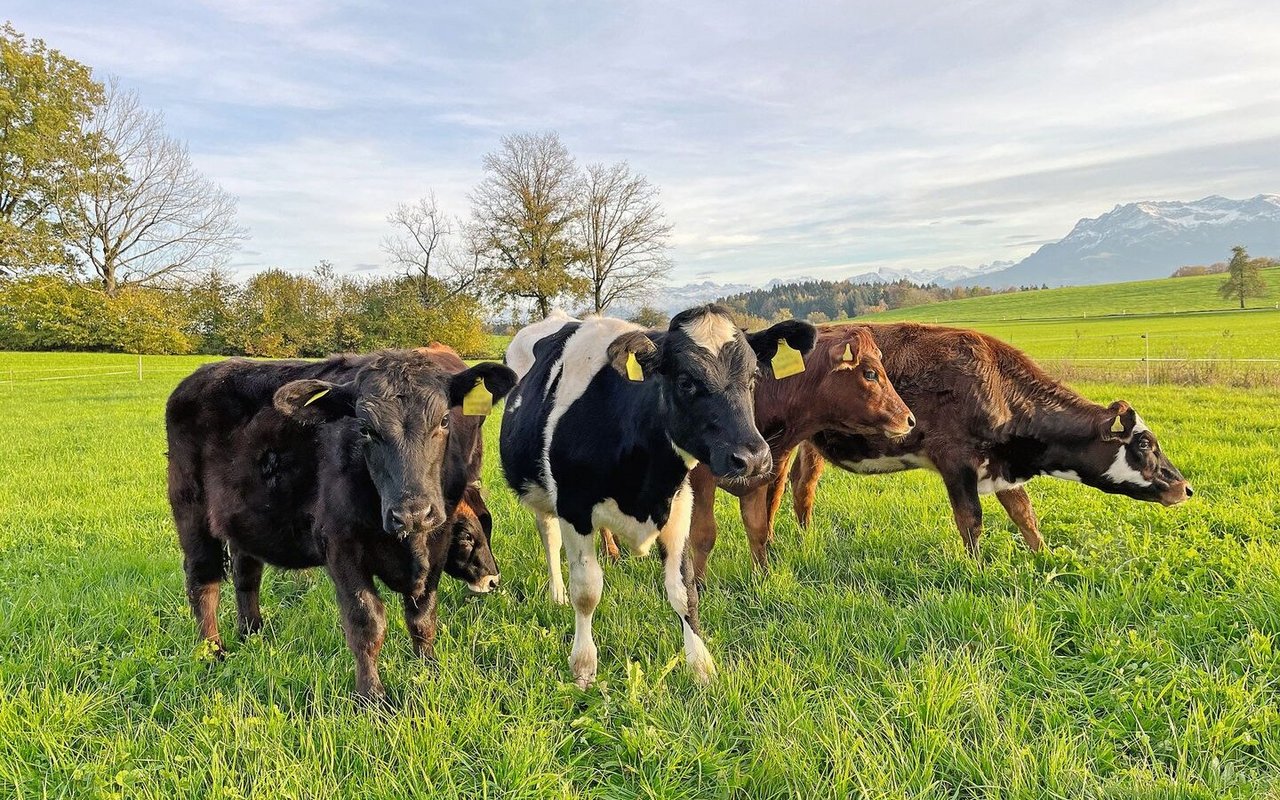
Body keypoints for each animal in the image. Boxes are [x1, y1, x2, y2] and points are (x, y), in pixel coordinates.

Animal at [165, 345, 514, 696]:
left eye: (443, 420)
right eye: (364, 429)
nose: (412, 513)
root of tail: (202, 374)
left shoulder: (436, 544)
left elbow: (423, 618)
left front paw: (429, 674)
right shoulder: (340, 544)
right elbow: (366, 623)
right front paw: (372, 696)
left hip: (246, 522)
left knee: (246, 575)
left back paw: (252, 634)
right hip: (191, 514)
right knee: (203, 582)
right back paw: (213, 653)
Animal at [494, 305, 814, 686]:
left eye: (753, 377)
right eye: (686, 381)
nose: (752, 458)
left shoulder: (678, 505)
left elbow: (684, 591)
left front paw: (702, 667)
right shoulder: (574, 507)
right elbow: (586, 591)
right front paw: (583, 667)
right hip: (540, 492)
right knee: (549, 535)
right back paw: (556, 593)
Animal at [691, 325, 921, 581]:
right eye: (870, 374)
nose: (909, 420)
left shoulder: (759, 477)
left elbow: (758, 528)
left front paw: (762, 577)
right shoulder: (700, 479)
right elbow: (703, 536)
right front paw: (698, 586)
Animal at [706, 318, 1192, 568]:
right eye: (1145, 445)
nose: (1184, 487)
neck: (995, 384)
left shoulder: (1001, 467)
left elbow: (1025, 516)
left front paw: (1044, 557)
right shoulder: (955, 460)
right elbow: (971, 520)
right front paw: (978, 572)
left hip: (811, 445)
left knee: (802, 490)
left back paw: (805, 541)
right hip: (781, 444)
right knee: (771, 494)